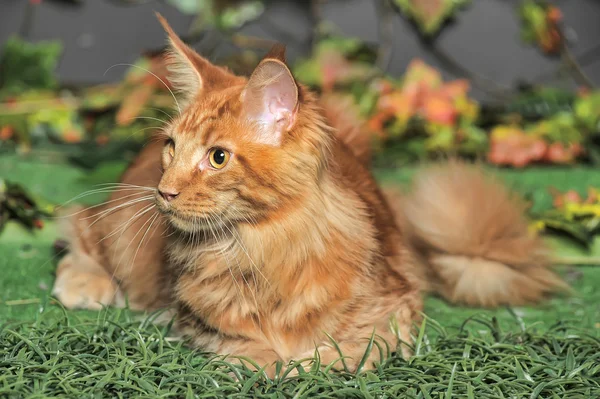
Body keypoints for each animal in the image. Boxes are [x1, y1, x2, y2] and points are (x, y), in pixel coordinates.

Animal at [50, 14, 568, 378]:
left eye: (217, 158)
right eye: (172, 147)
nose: (166, 191)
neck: (259, 247)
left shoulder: (396, 309)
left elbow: (348, 350)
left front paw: (303, 365)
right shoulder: (198, 322)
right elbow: (242, 346)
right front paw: (267, 363)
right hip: (123, 230)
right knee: (78, 223)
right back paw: (85, 284)